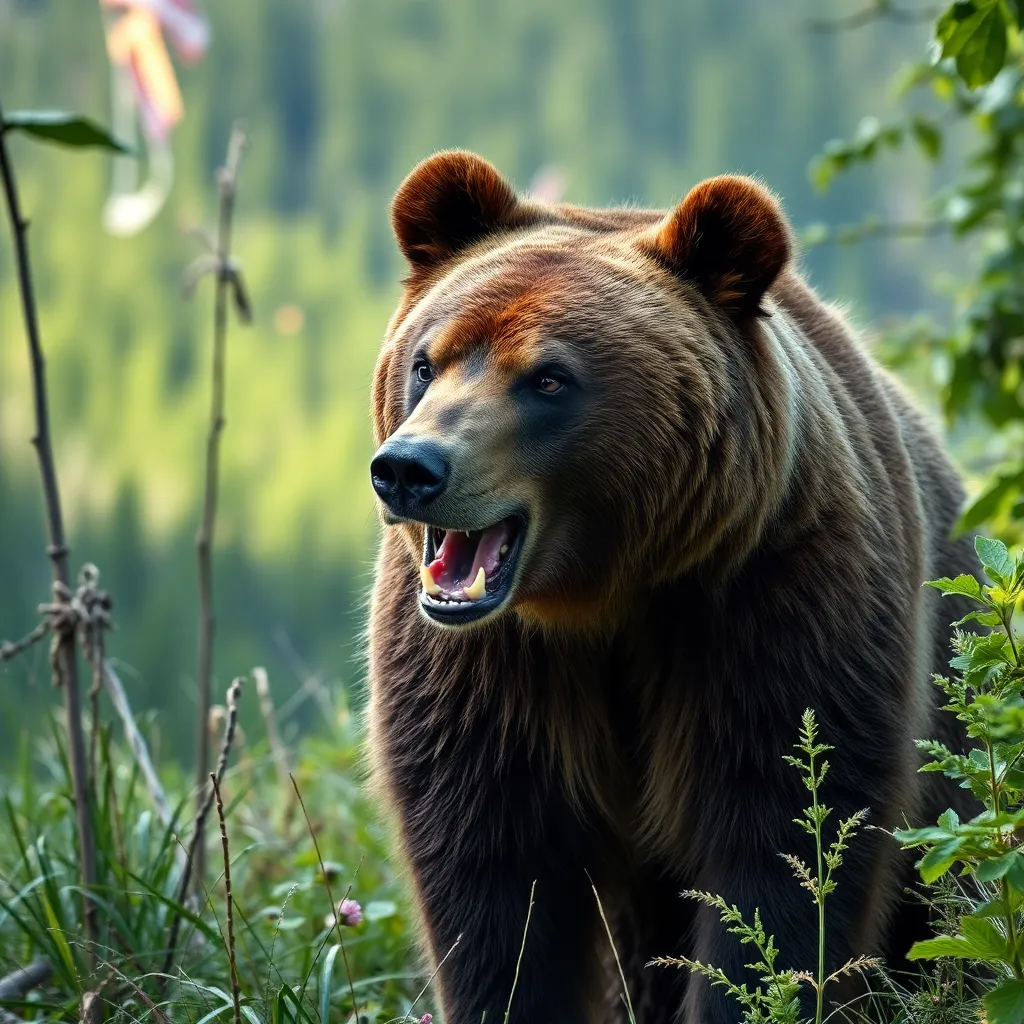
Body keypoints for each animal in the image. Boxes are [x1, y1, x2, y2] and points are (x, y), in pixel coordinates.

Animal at [365, 150, 976, 1024]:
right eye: (426, 361)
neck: (602, 592)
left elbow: (785, 834)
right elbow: (491, 867)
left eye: (548, 379)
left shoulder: (774, 598)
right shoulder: (485, 668)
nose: (410, 468)